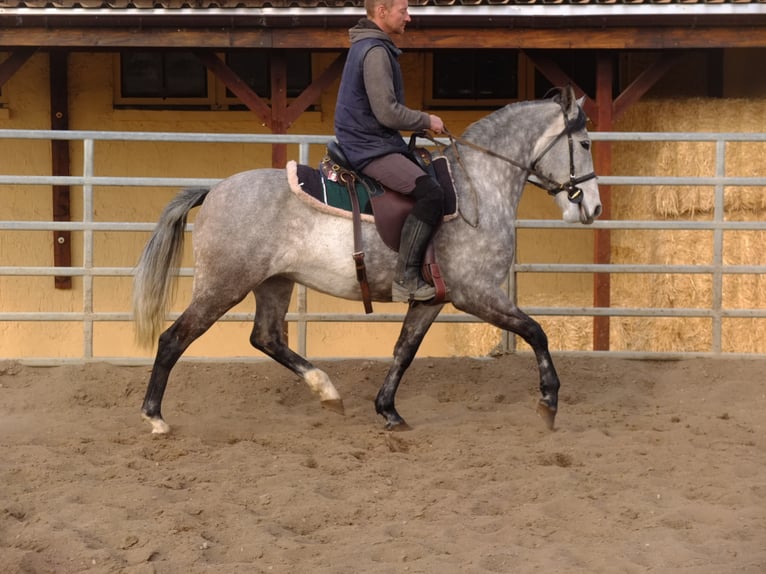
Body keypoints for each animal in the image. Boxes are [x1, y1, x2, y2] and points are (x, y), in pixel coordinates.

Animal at [135, 85, 604, 436]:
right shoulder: (477, 294)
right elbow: (537, 332)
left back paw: (326, 391)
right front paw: (549, 401)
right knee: (174, 338)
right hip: (223, 285)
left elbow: (404, 350)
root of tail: (214, 191)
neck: (478, 187)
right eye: (583, 143)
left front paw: (388, 410)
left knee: (266, 338)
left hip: (275, 282)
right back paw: (154, 417)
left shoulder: (432, 300)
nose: (593, 207)